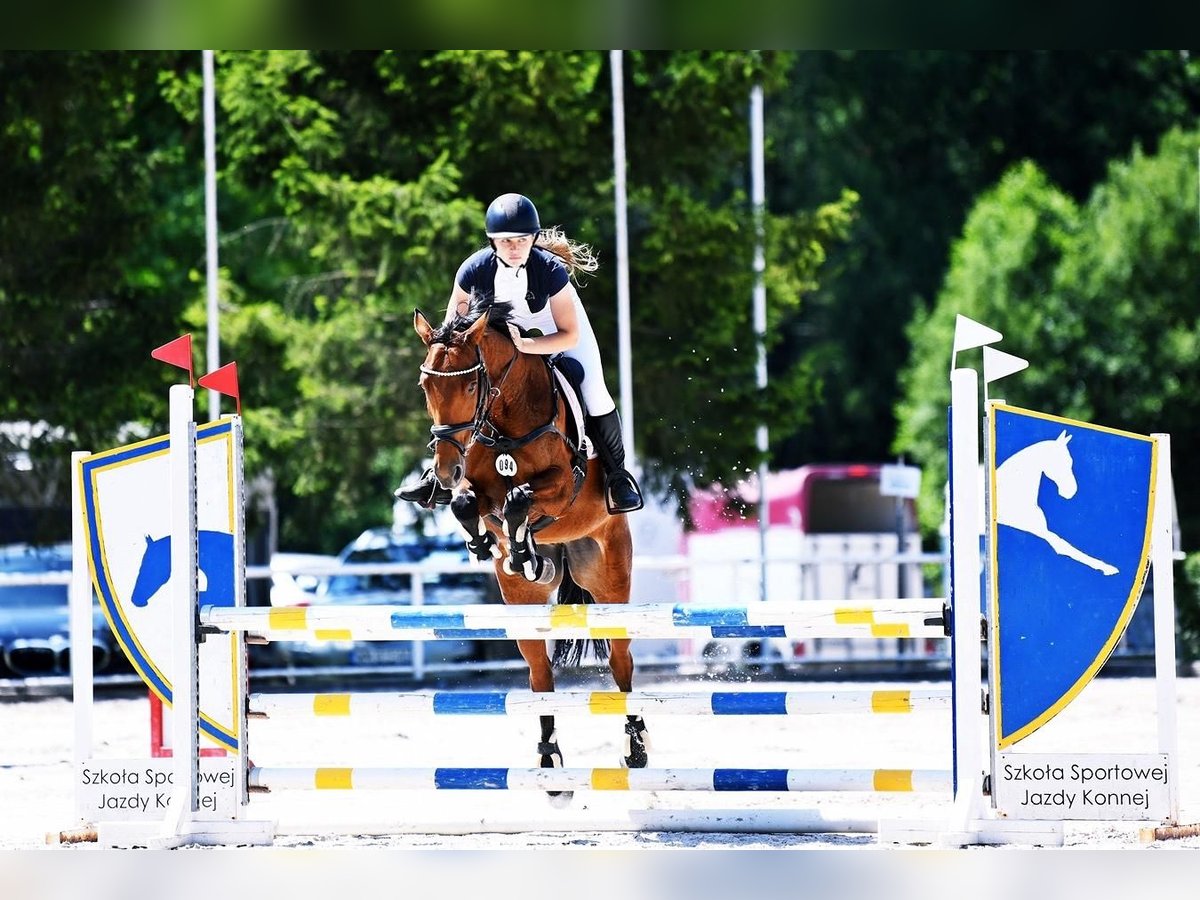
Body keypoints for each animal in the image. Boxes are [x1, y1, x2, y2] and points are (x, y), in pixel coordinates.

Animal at [412, 290, 648, 801]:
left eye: (469, 387)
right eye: (425, 386)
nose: (444, 469)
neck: (506, 419)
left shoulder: (562, 487)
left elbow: (521, 497)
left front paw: (520, 544)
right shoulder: (476, 486)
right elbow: (469, 503)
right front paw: (492, 544)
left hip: (610, 577)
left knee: (621, 662)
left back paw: (636, 747)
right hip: (523, 605)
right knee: (541, 674)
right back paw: (549, 762)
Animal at [993, 432, 1113, 573]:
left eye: (1070, 461)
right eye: (1060, 462)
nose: (1071, 491)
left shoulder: (1042, 529)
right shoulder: (1039, 530)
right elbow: (1064, 546)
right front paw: (1107, 568)